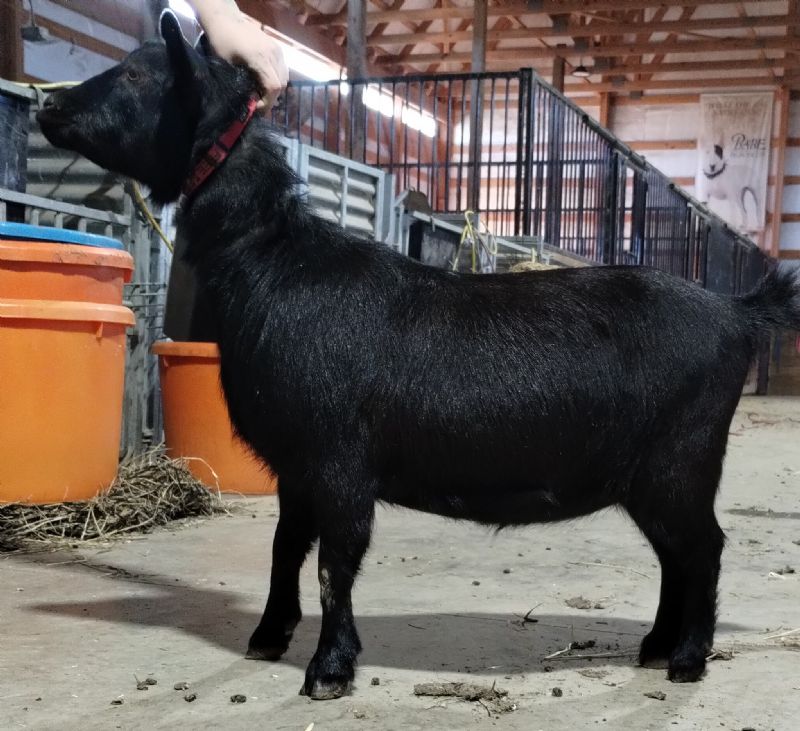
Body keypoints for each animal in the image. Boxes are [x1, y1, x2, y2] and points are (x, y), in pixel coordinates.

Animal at [38, 11, 800, 700]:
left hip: (681, 459)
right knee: (677, 554)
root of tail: (737, 311)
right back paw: (655, 645)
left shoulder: (340, 458)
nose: (49, 103)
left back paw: (688, 659)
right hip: (653, 475)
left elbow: (335, 563)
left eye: (138, 75)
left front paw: (329, 669)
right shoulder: (298, 462)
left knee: (704, 549)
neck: (276, 261)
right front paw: (268, 636)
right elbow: (287, 547)